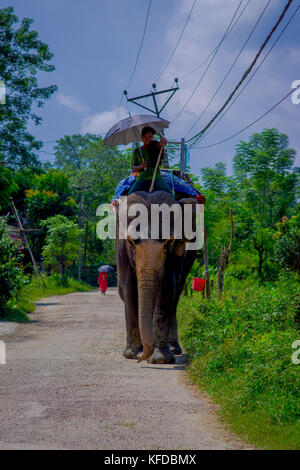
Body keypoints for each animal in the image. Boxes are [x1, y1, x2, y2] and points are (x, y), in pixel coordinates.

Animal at [114, 190, 199, 364]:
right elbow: (129, 286)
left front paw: (160, 359)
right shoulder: (121, 248)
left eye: (167, 242)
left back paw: (174, 348)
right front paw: (132, 354)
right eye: (132, 241)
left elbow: (167, 287)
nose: (141, 358)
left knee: (177, 292)